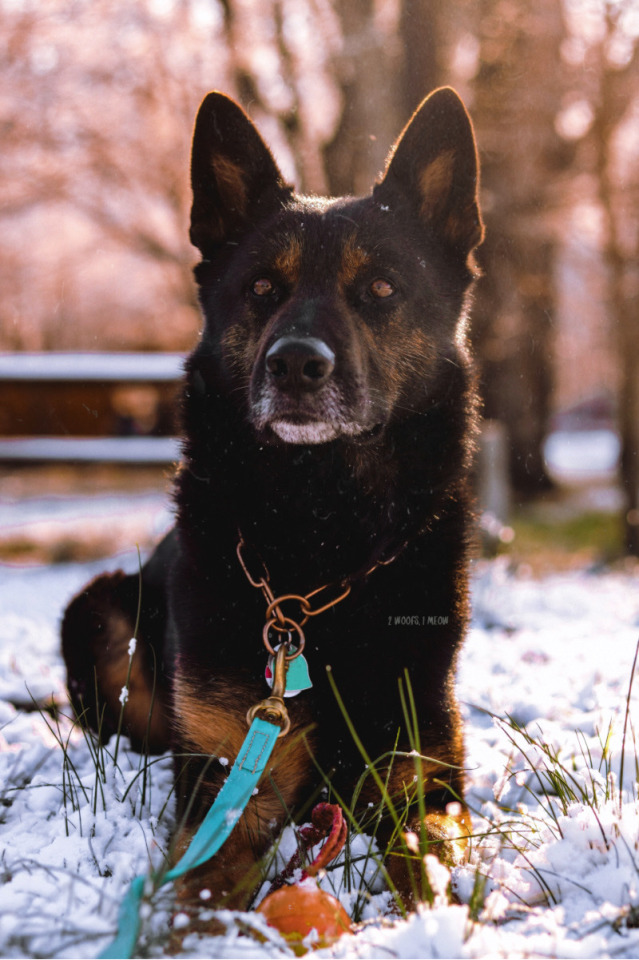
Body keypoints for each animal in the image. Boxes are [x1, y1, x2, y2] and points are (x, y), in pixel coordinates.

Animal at [63, 86, 484, 920]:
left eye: (381, 289)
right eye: (261, 288)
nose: (295, 364)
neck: (318, 540)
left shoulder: (420, 784)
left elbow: (429, 873)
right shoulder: (233, 789)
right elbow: (190, 892)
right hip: (94, 611)